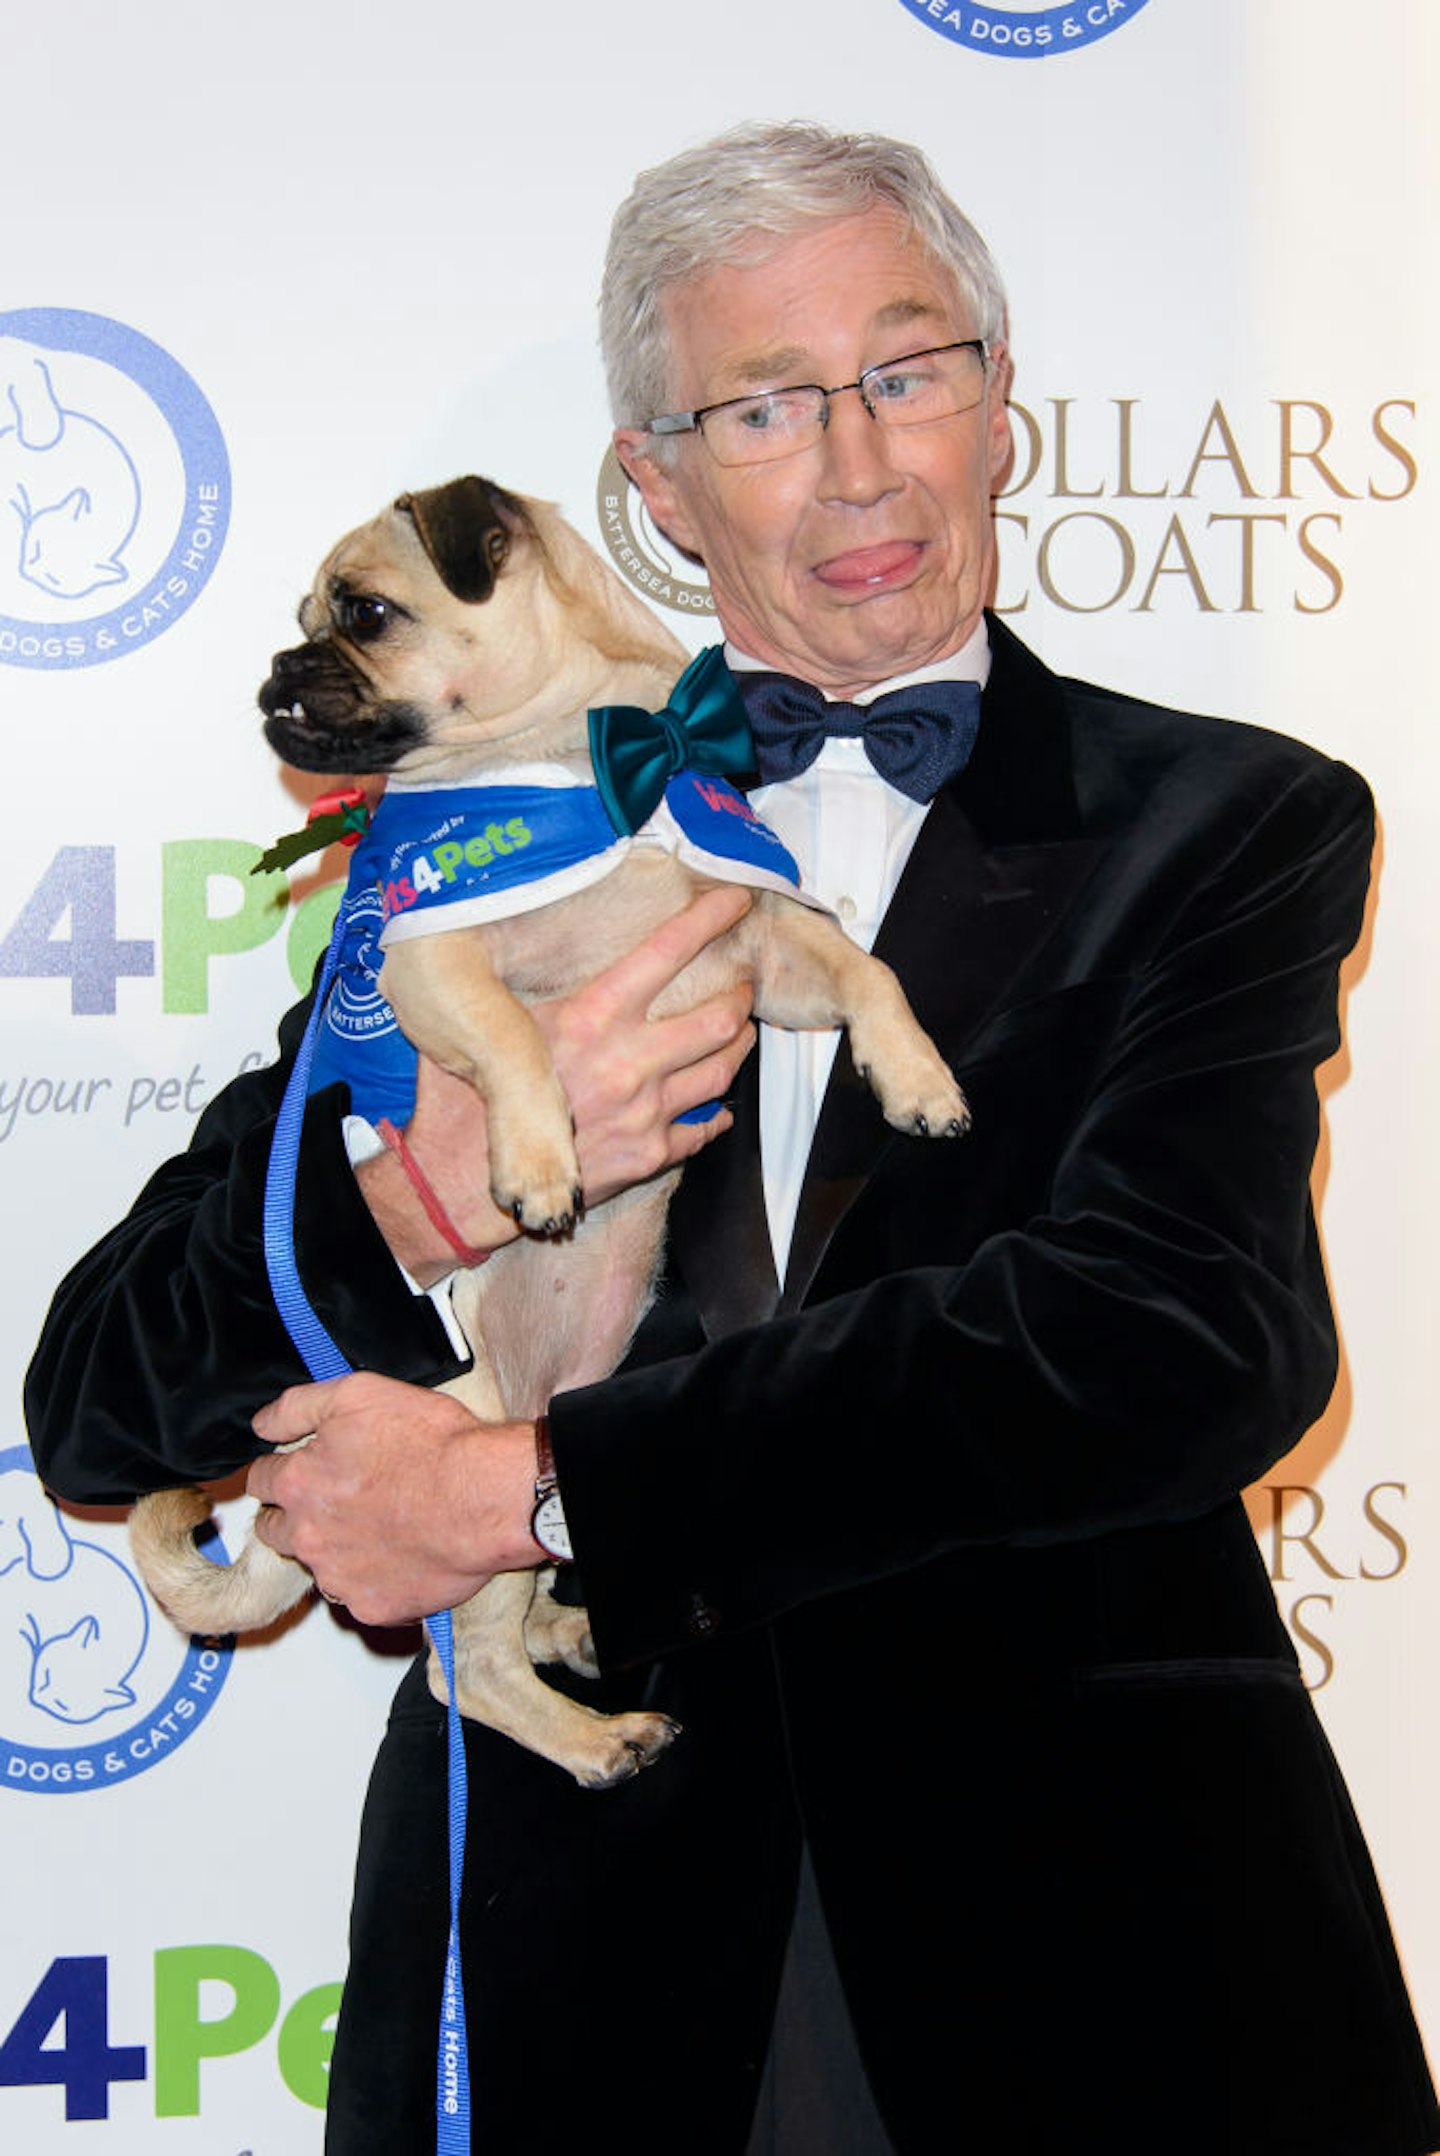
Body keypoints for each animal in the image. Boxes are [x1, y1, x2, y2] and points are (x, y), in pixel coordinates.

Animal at [132, 480, 965, 1793]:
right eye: (315, 621)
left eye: (361, 614)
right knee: (460, 1670)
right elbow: (519, 1039)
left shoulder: (766, 949)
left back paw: (569, 1632)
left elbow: (869, 970)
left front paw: (919, 1078)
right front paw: (537, 1166)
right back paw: (598, 1739)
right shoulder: (428, 956)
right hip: (462, 1443)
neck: (588, 759)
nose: (278, 671)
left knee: (509, 1608)